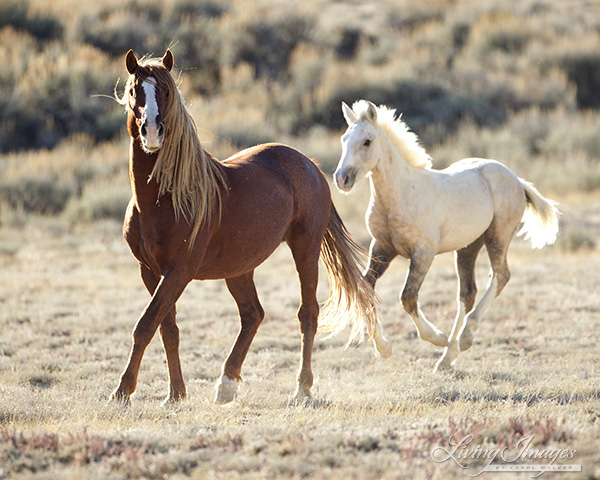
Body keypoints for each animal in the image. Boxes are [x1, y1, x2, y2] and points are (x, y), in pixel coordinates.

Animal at [108, 50, 392, 404]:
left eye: (166, 91)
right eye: (135, 90)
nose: (151, 132)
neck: (164, 200)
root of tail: (309, 164)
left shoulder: (179, 271)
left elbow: (146, 324)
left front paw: (122, 391)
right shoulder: (149, 271)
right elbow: (166, 327)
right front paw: (176, 394)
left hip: (305, 248)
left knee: (307, 313)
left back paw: (301, 387)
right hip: (239, 268)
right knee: (253, 314)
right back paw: (226, 384)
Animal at [336, 100, 560, 372]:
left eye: (367, 141)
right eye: (344, 139)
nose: (341, 179)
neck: (400, 196)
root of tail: (516, 179)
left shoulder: (423, 253)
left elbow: (407, 297)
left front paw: (437, 338)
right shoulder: (382, 249)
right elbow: (365, 289)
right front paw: (384, 348)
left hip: (498, 236)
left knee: (500, 276)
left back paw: (463, 337)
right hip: (468, 246)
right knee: (467, 293)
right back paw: (449, 356)